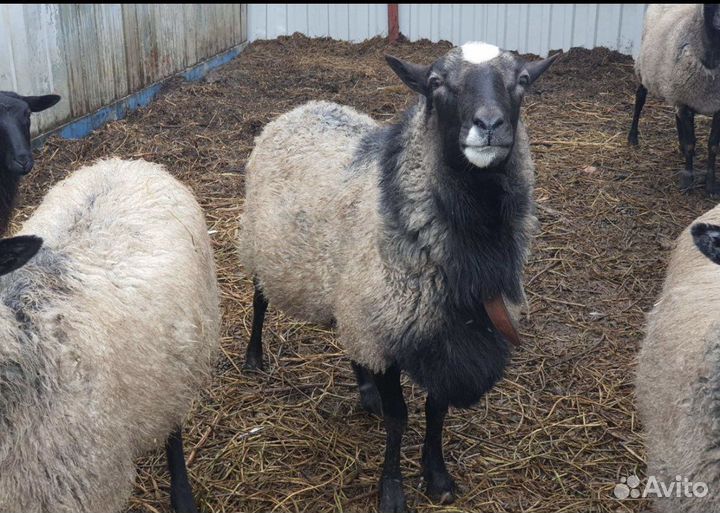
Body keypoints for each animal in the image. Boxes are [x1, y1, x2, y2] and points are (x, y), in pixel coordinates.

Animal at [237, 42, 558, 512]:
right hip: (262, 246)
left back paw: (365, 389)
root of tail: (301, 108)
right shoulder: (387, 328)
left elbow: (435, 412)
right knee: (259, 297)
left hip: (350, 290)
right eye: (436, 82)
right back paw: (254, 357)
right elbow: (398, 418)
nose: (489, 125)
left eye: (522, 80)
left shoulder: (440, 334)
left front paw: (437, 476)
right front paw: (392, 490)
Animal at [628, 4, 720, 193]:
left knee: (676, 113)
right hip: (645, 69)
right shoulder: (684, 99)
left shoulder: (715, 106)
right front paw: (688, 181)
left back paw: (679, 144)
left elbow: (713, 146)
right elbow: (691, 144)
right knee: (640, 98)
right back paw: (633, 138)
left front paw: (711, 185)